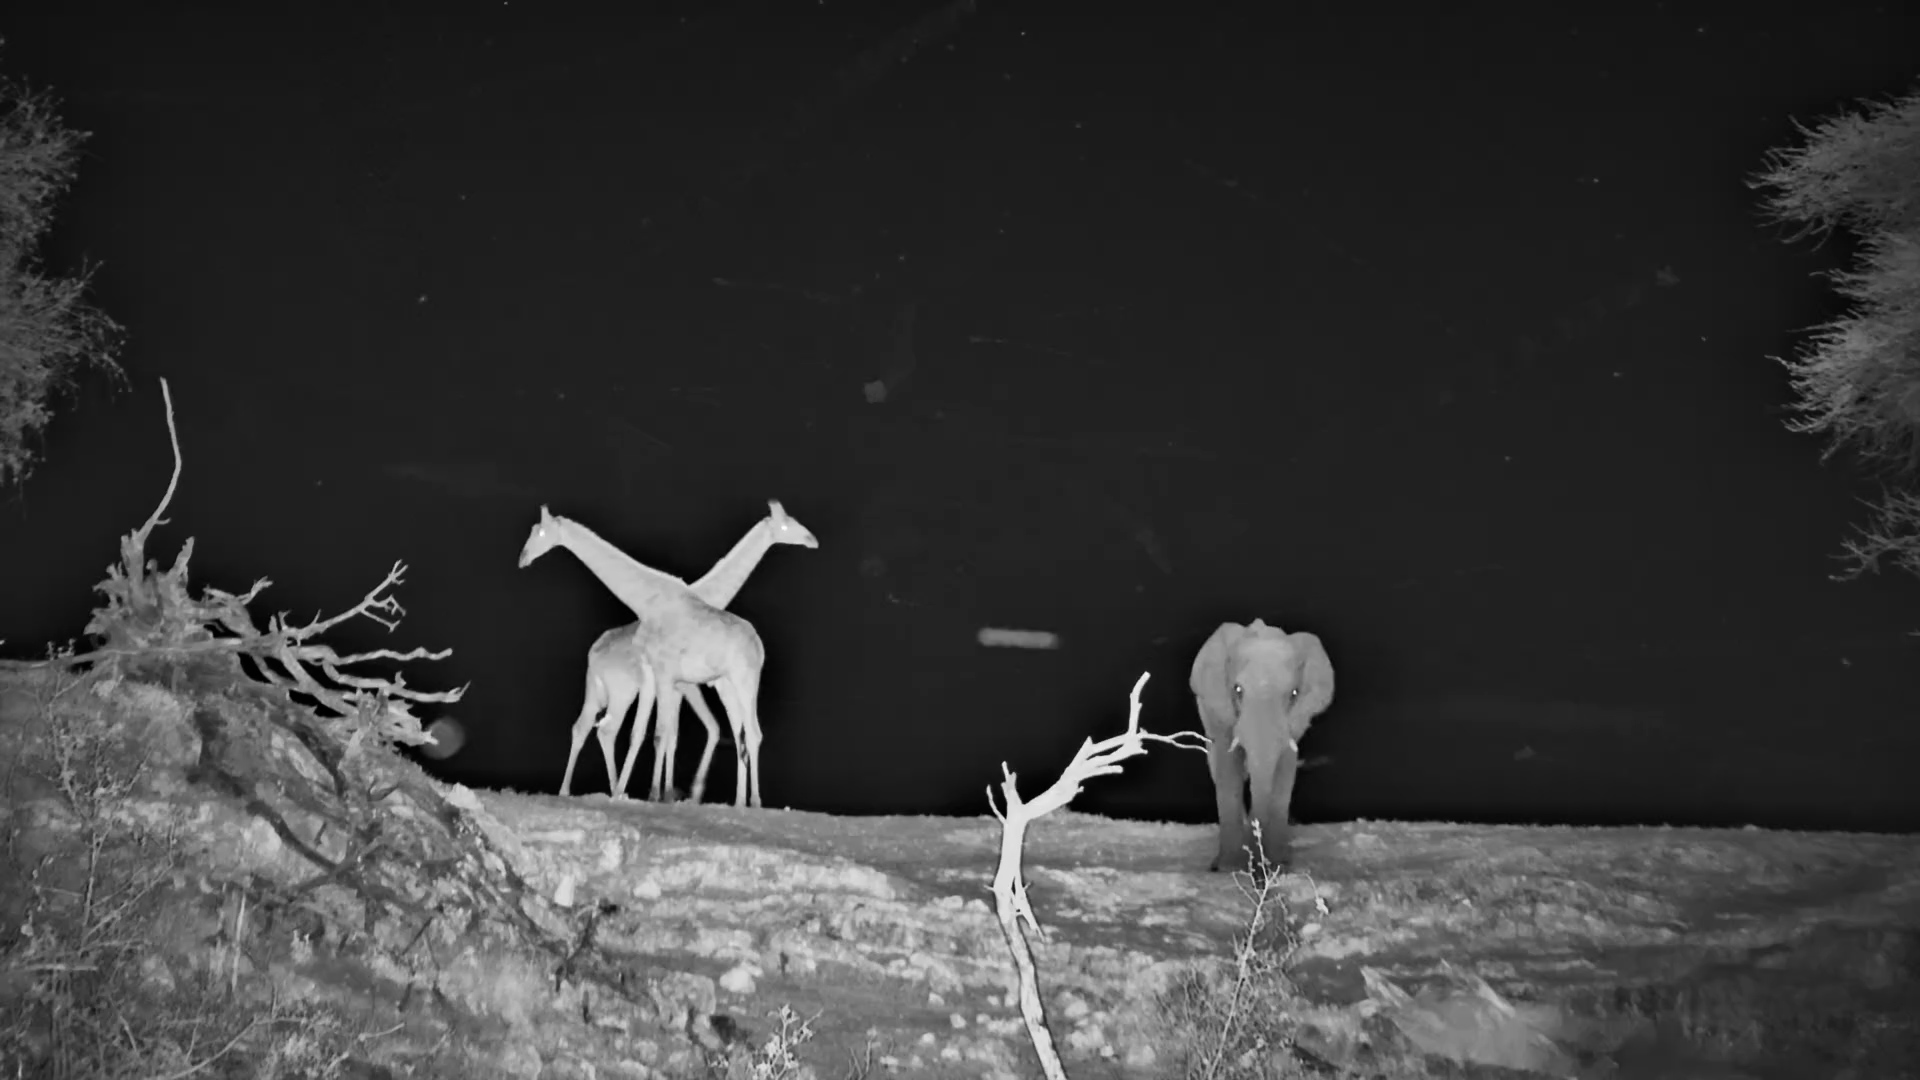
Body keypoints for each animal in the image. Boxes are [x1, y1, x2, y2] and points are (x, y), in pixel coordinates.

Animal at [518, 502, 814, 807]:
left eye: (540, 532)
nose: (523, 558)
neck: (647, 601)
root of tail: (758, 643)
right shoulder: (660, 676)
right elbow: (646, 733)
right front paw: (640, 793)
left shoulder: (672, 678)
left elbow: (664, 734)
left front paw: (658, 794)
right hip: (624, 690)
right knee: (595, 727)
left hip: (740, 682)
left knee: (751, 733)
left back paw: (751, 802)